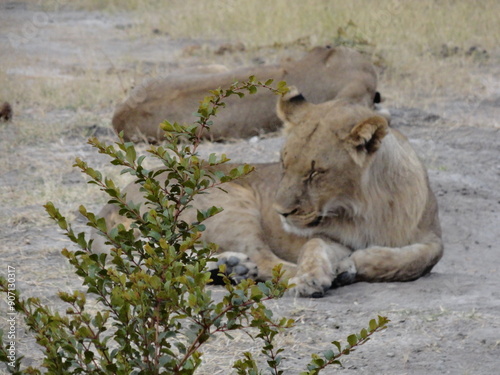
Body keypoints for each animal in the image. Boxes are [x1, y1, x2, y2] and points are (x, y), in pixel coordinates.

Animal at [95, 89, 444, 298]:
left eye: (316, 173)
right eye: (284, 163)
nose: (281, 213)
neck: (363, 207)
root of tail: (113, 203)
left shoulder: (432, 235)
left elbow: (420, 257)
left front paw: (357, 261)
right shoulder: (325, 237)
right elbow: (314, 247)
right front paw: (318, 274)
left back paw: (231, 268)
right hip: (230, 204)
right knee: (265, 263)